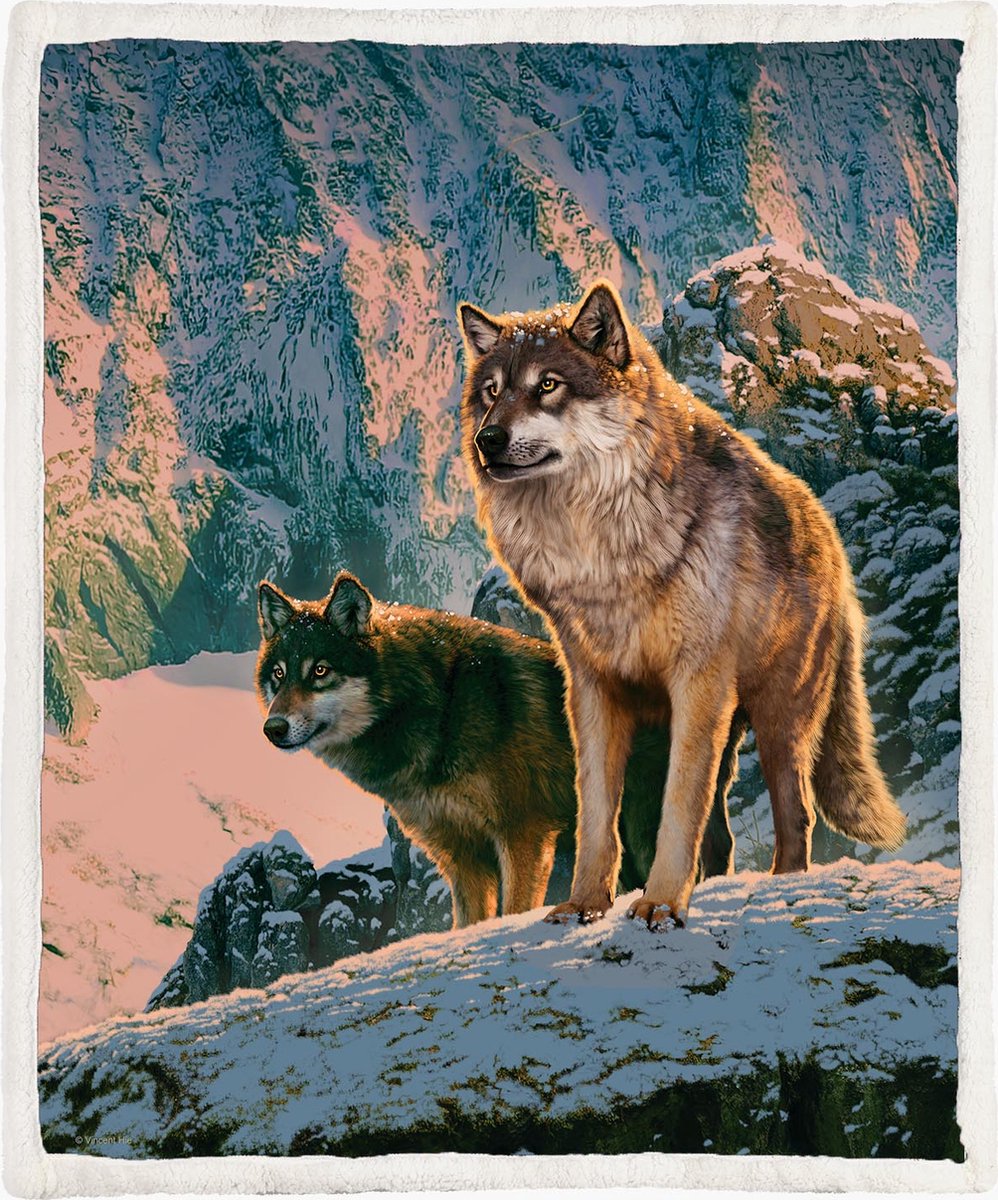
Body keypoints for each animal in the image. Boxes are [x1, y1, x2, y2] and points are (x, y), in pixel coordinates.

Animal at [255, 572, 745, 929]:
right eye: (278, 674)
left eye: (320, 671)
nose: (273, 728)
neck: (442, 704)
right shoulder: (461, 856)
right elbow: (468, 923)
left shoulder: (523, 832)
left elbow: (514, 909)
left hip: (643, 820)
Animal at [458, 280, 906, 929]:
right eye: (492, 392)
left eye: (548, 385)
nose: (487, 440)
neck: (598, 548)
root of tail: (833, 543)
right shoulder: (592, 689)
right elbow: (597, 814)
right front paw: (585, 904)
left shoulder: (697, 684)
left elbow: (676, 809)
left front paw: (663, 904)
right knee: (721, 835)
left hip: (777, 722)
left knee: (796, 816)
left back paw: (781, 886)